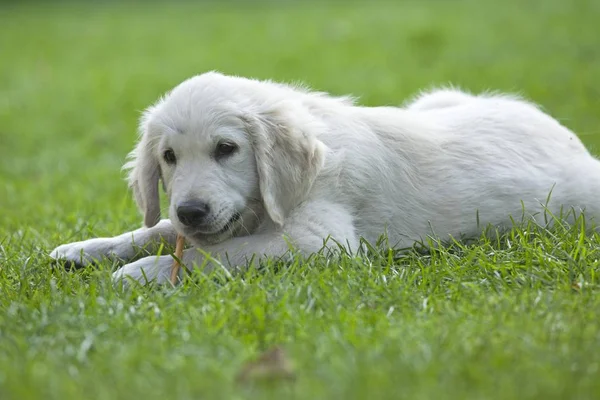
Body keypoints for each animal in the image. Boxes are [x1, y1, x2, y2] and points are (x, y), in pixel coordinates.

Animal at [49, 72, 596, 284]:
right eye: (168, 157)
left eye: (226, 149)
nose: (191, 210)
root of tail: (570, 137)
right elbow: (157, 230)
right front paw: (84, 249)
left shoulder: (320, 240)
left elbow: (212, 255)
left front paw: (144, 272)